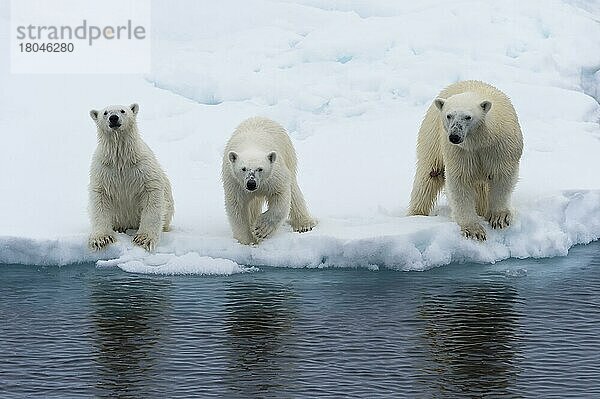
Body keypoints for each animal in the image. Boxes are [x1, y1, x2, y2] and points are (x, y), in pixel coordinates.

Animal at [88, 104, 175, 252]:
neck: (121, 159)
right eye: (105, 113)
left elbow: (152, 196)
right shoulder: (103, 170)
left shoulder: (143, 168)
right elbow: (100, 199)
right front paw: (102, 239)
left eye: (123, 110)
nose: (113, 118)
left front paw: (143, 239)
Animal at [221, 117, 316, 245]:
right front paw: (248, 240)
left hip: (288, 154)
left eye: (260, 168)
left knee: (294, 190)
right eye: (243, 168)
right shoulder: (234, 182)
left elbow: (280, 196)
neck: (252, 145)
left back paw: (304, 224)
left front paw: (260, 229)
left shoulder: (274, 176)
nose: (251, 184)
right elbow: (237, 207)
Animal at [406, 79, 524, 239]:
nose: (454, 136)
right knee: (429, 175)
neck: (479, 140)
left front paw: (498, 218)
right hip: (432, 137)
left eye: (468, 117)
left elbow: (502, 176)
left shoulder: (500, 146)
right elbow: (460, 180)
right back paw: (416, 215)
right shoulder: (460, 152)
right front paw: (474, 230)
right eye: (449, 115)